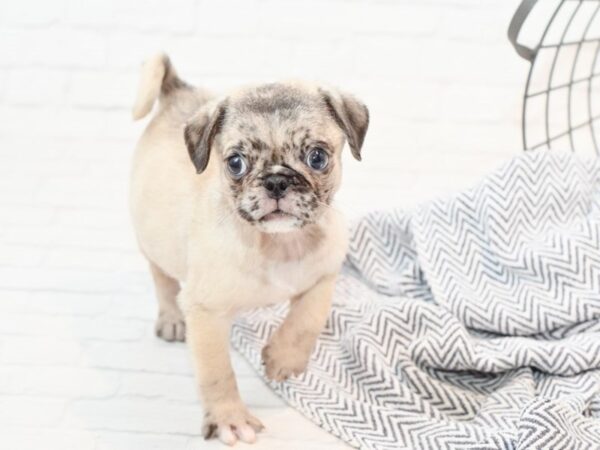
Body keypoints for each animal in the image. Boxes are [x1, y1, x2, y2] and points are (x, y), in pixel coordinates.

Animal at [129, 51, 368, 442]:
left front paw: (284, 359)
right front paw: (230, 418)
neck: (280, 243)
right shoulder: (206, 313)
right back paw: (172, 319)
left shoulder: (325, 273)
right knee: (162, 278)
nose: (276, 181)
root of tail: (177, 89)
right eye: (235, 163)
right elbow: (217, 372)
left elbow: (309, 318)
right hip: (154, 239)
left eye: (317, 157)